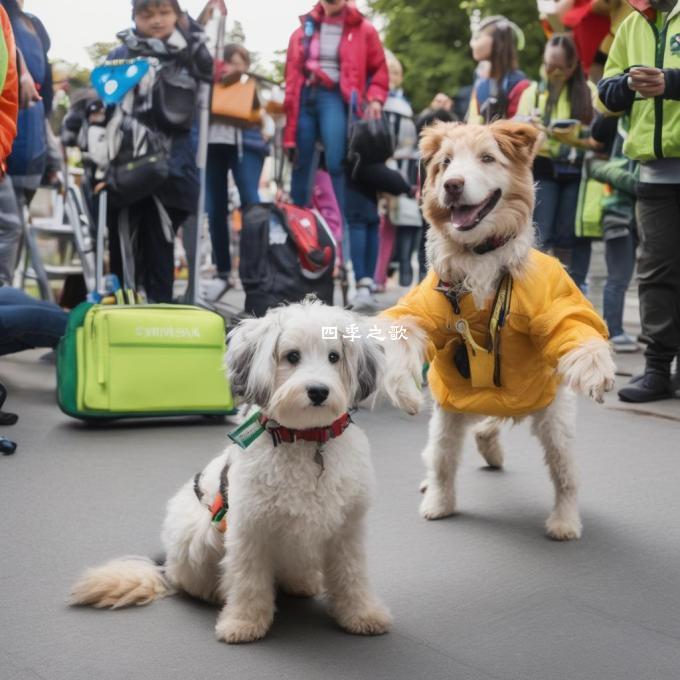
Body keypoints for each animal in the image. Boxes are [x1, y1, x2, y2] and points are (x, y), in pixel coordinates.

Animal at [382, 119, 616, 540]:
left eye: (487, 158)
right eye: (445, 163)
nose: (452, 185)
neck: (481, 253)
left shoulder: (554, 300)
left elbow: (574, 324)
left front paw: (595, 368)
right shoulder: (421, 310)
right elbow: (404, 333)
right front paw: (405, 392)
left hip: (554, 424)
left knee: (565, 476)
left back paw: (564, 521)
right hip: (450, 415)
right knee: (443, 458)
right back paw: (439, 499)